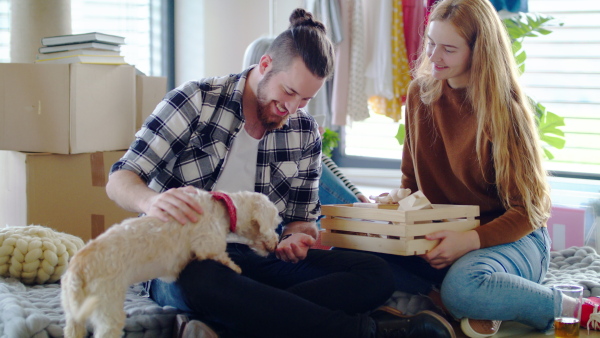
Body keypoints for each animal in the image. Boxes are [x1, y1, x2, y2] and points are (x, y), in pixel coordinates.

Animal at [62, 189, 282, 338]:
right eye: (275, 223)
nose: (276, 245)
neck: (224, 208)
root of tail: (77, 269)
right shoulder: (208, 244)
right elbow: (221, 256)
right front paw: (235, 267)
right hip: (108, 312)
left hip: (73, 317)